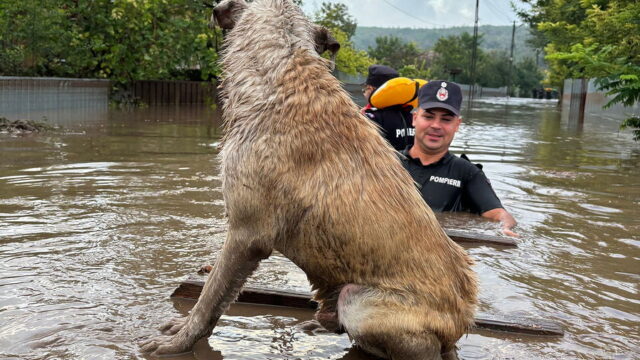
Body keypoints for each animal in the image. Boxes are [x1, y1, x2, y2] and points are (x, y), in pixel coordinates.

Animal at [142, 1, 478, 358]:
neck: (283, 70)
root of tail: (456, 329)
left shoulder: (246, 234)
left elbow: (210, 297)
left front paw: (179, 341)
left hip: (360, 303)